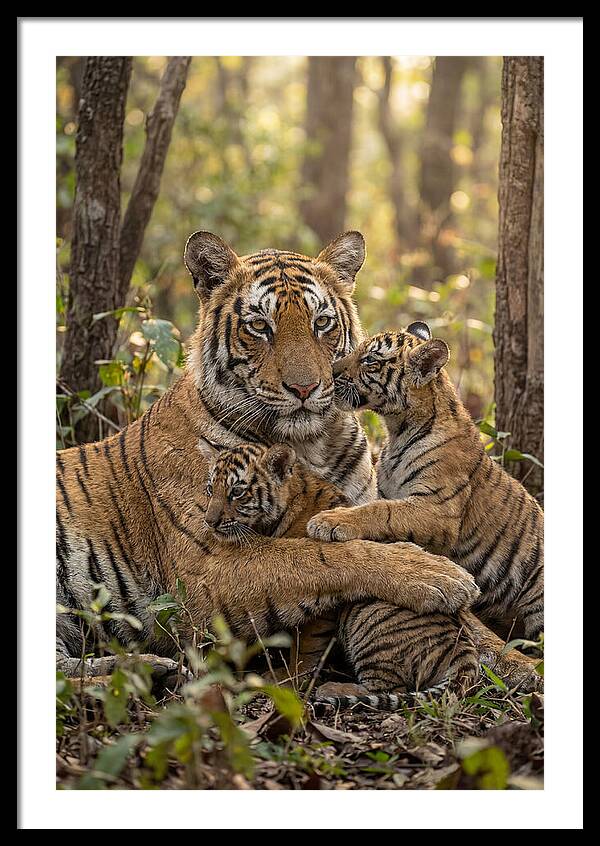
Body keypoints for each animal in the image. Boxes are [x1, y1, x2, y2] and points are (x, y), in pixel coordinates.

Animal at [198, 437, 480, 703]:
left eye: (237, 492)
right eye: (211, 489)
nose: (209, 522)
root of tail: (463, 649)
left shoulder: (322, 602)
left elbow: (307, 645)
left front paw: (290, 677)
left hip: (368, 619)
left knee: (388, 687)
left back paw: (334, 689)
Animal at [307, 322, 544, 643]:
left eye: (370, 360)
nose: (330, 372)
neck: (398, 429)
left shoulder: (438, 509)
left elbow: (382, 511)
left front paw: (329, 521)